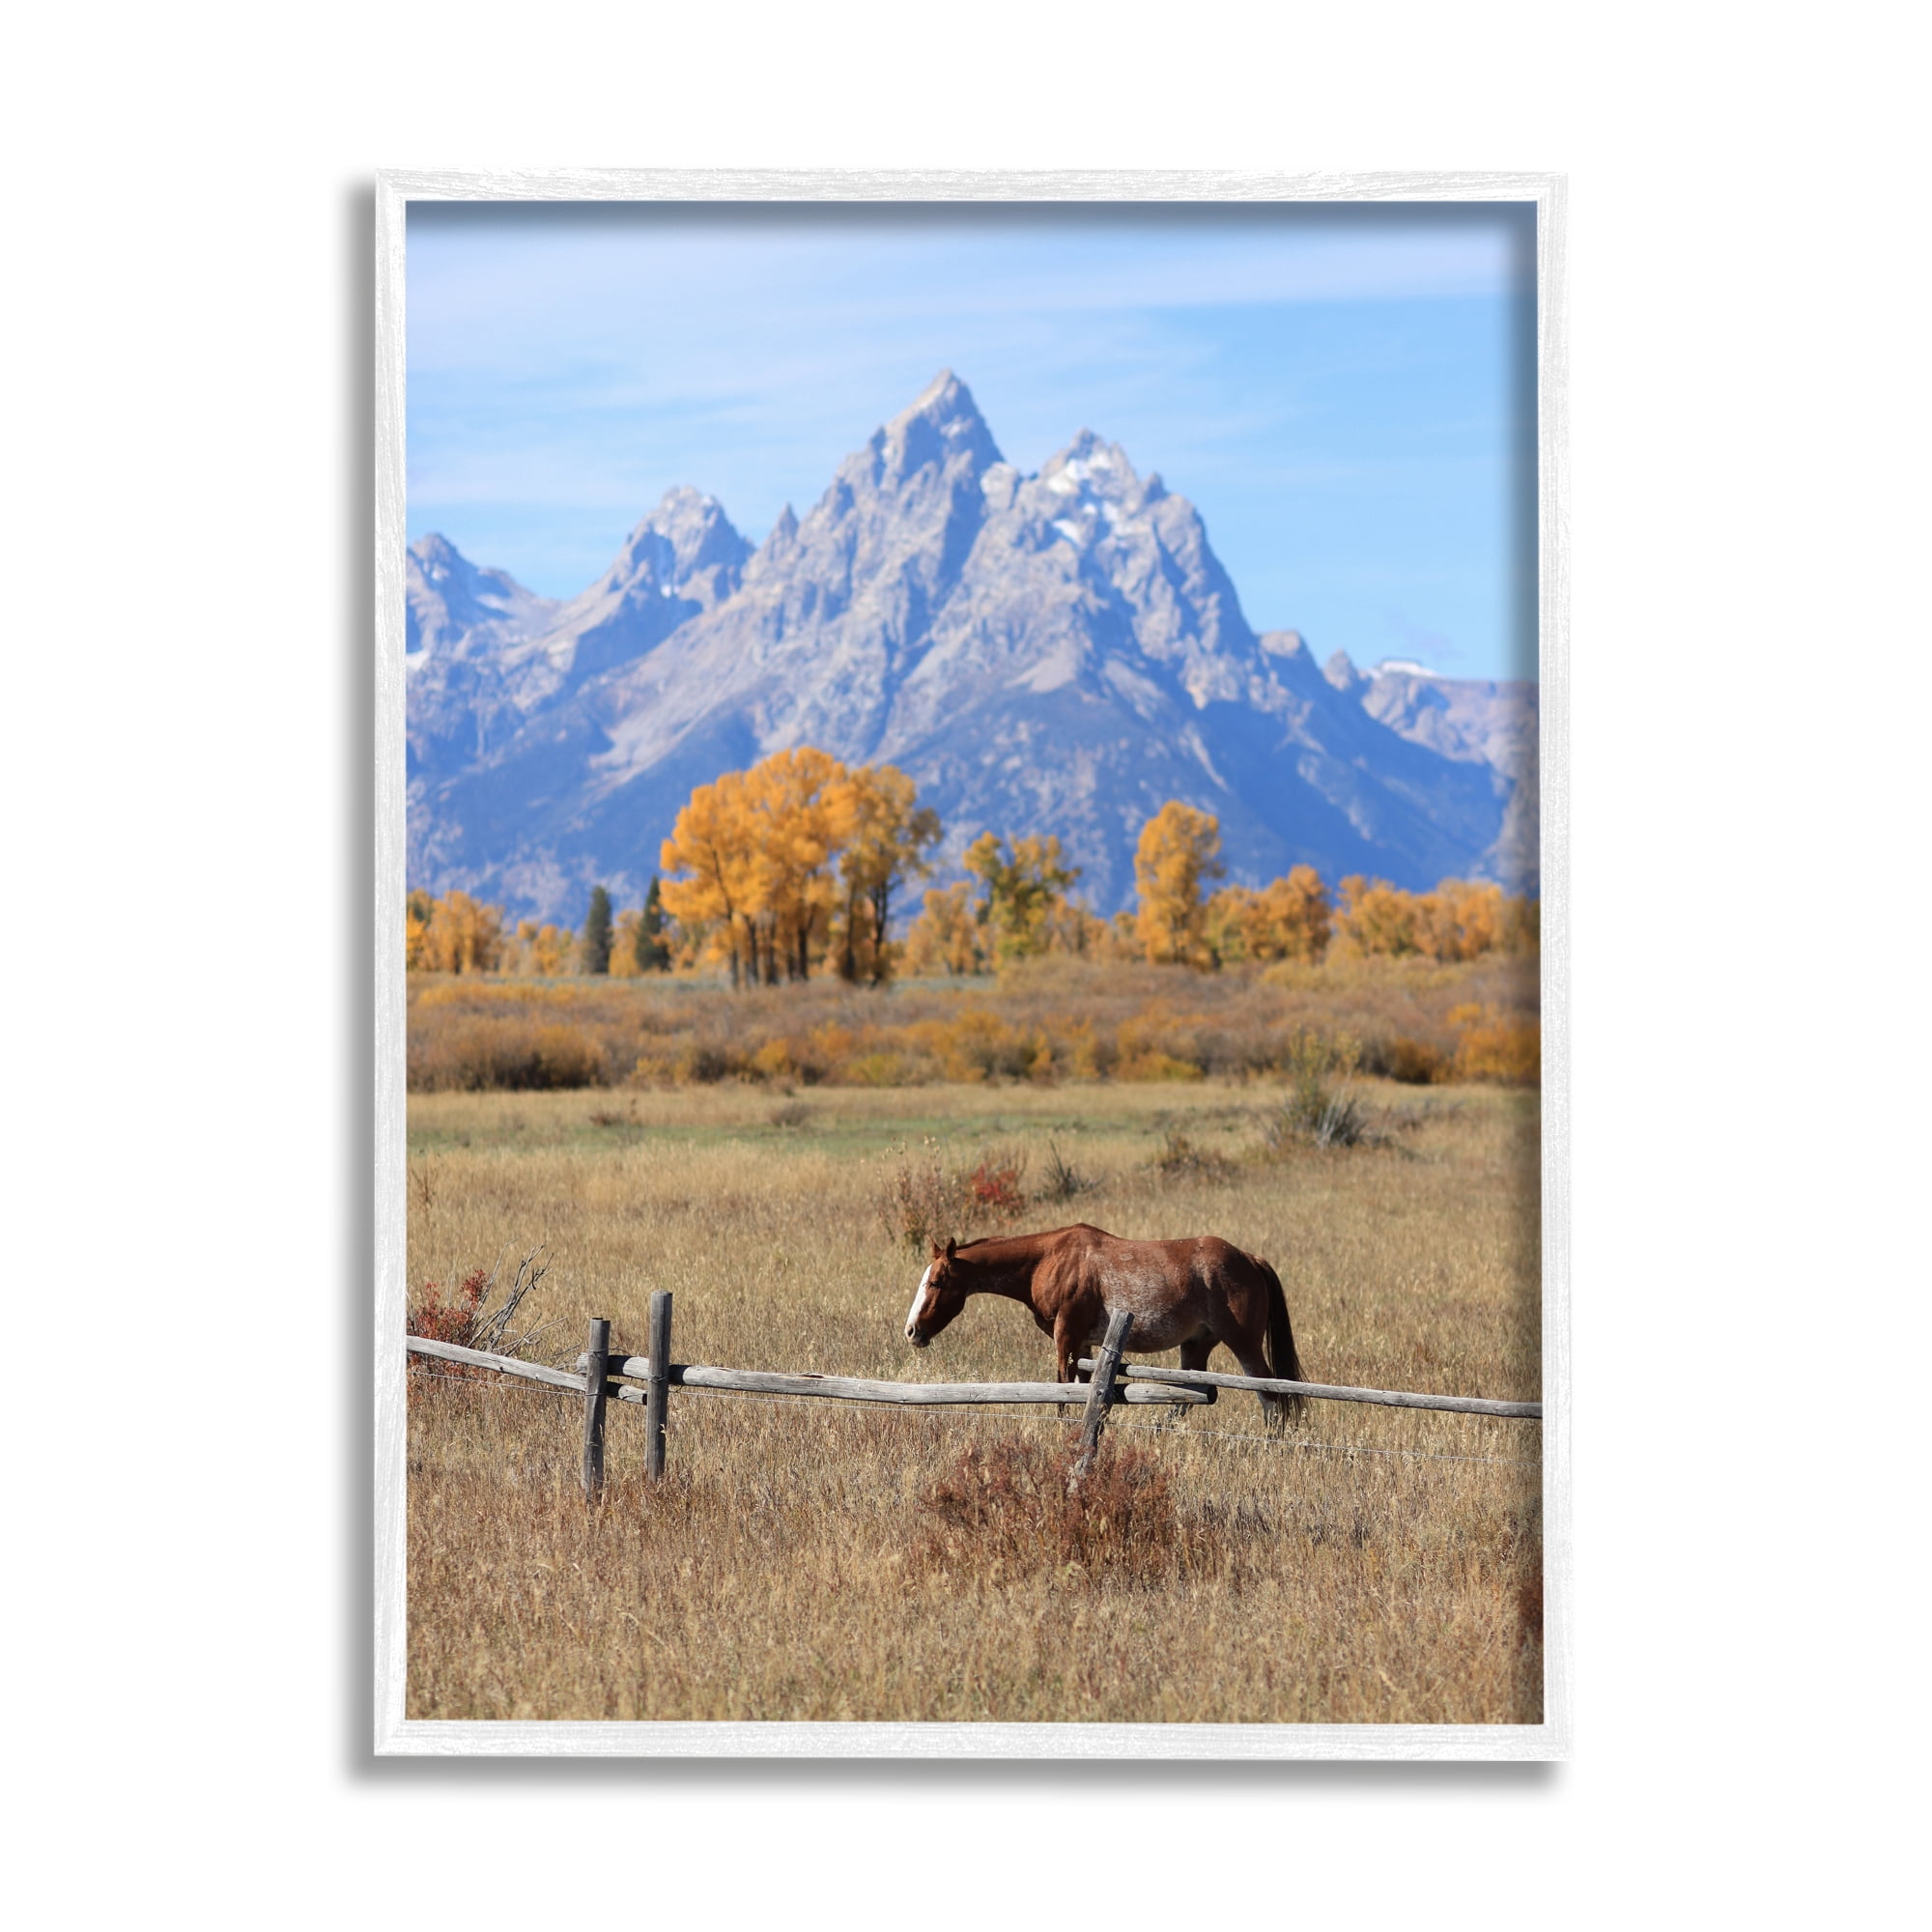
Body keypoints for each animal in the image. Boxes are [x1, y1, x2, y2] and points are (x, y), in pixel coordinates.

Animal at [903, 1223, 1306, 1429]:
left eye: (936, 1281)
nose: (912, 1331)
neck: (1048, 1259)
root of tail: (1250, 1259)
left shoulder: (1066, 1338)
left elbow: (1062, 1392)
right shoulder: (1083, 1345)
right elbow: (1082, 1391)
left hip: (1244, 1345)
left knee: (1271, 1396)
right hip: (1196, 1345)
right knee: (1186, 1398)